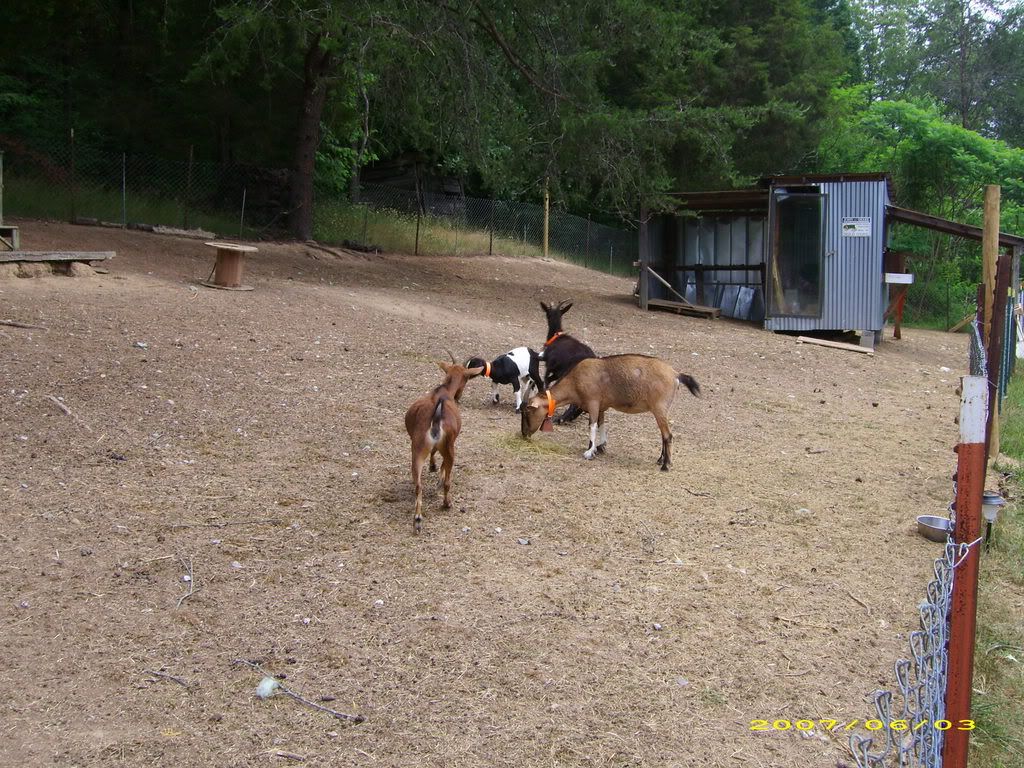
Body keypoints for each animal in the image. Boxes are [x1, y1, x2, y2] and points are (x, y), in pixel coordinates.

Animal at [404, 361, 483, 533]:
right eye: (467, 378)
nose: (459, 396)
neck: (444, 390)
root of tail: (436, 417)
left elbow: (433, 453)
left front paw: (432, 466)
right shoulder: (451, 442)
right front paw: (437, 472)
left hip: (417, 448)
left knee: (418, 485)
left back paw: (417, 519)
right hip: (449, 447)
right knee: (447, 479)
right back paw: (447, 503)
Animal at [520, 354, 700, 471]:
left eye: (527, 411)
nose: (524, 434)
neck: (575, 380)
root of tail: (676, 374)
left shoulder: (593, 402)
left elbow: (592, 425)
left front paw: (589, 452)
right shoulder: (602, 406)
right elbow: (601, 425)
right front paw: (599, 447)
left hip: (659, 408)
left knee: (668, 435)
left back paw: (665, 465)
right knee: (663, 435)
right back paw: (660, 460)